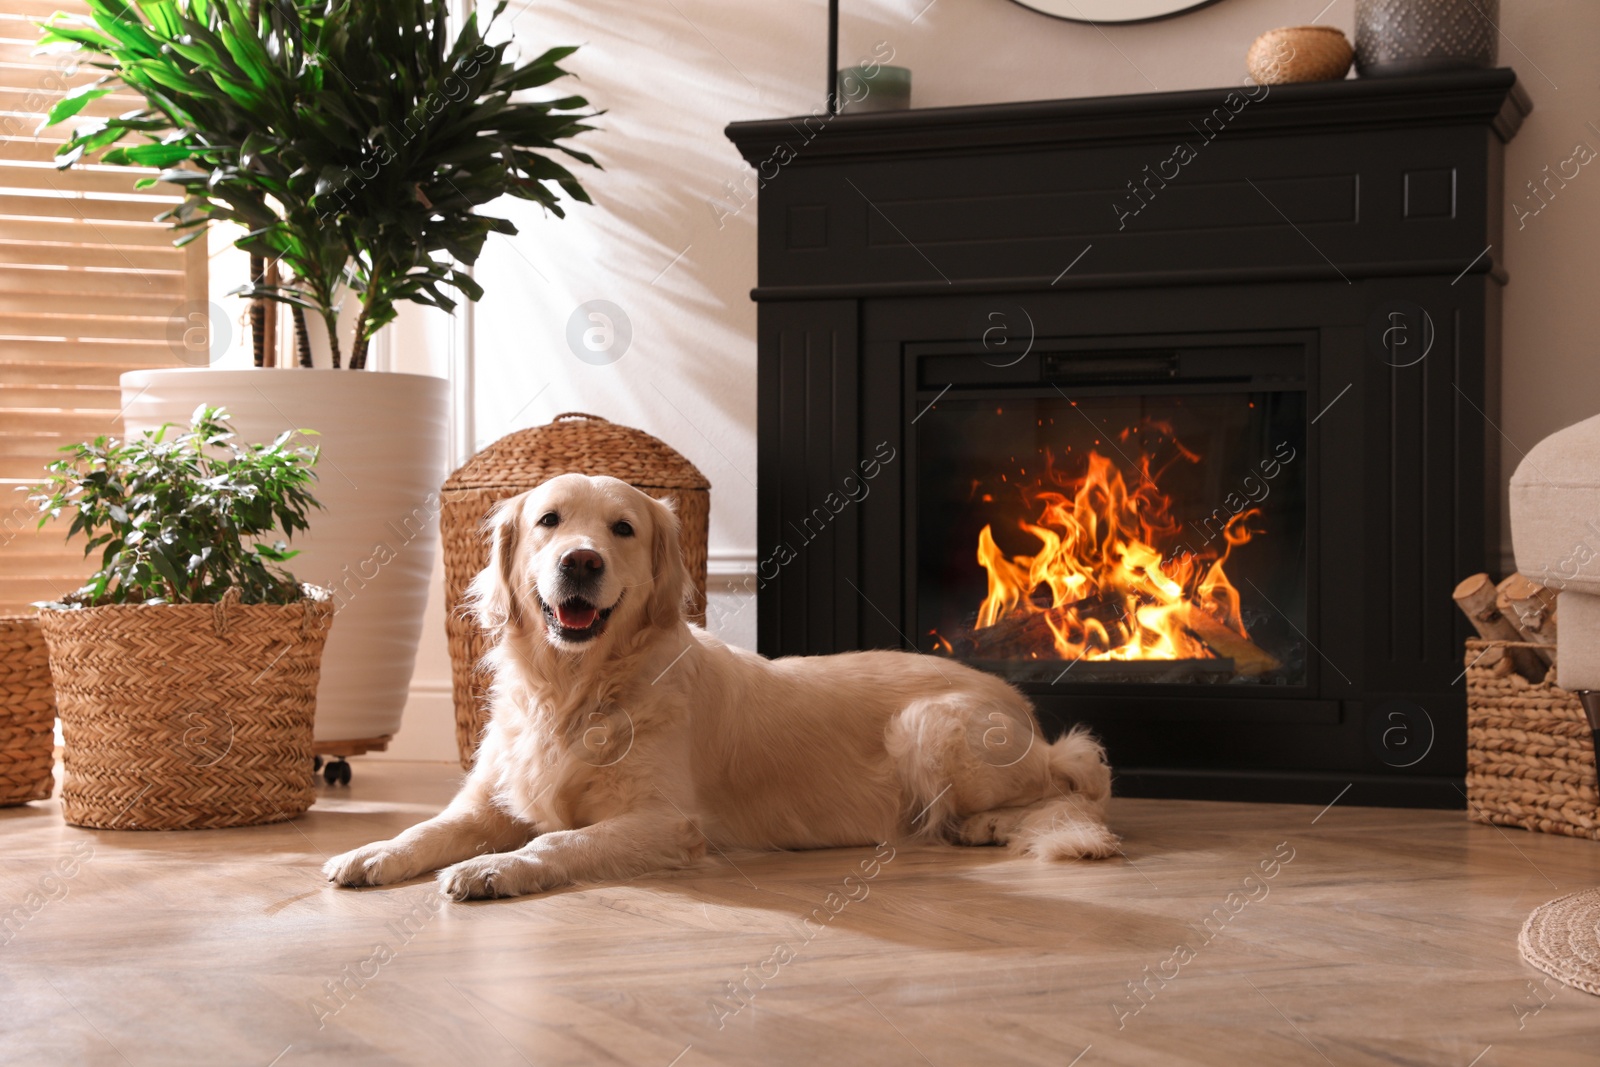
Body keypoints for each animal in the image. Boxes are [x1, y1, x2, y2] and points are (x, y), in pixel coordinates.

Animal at [323, 470, 1120, 895]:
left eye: (622, 528)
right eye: (549, 520)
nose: (580, 561)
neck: (573, 689)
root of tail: (1016, 700)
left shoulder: (663, 820)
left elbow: (555, 843)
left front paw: (495, 868)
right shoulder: (488, 798)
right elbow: (428, 827)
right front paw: (373, 853)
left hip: (933, 724)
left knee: (1071, 786)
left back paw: (997, 823)